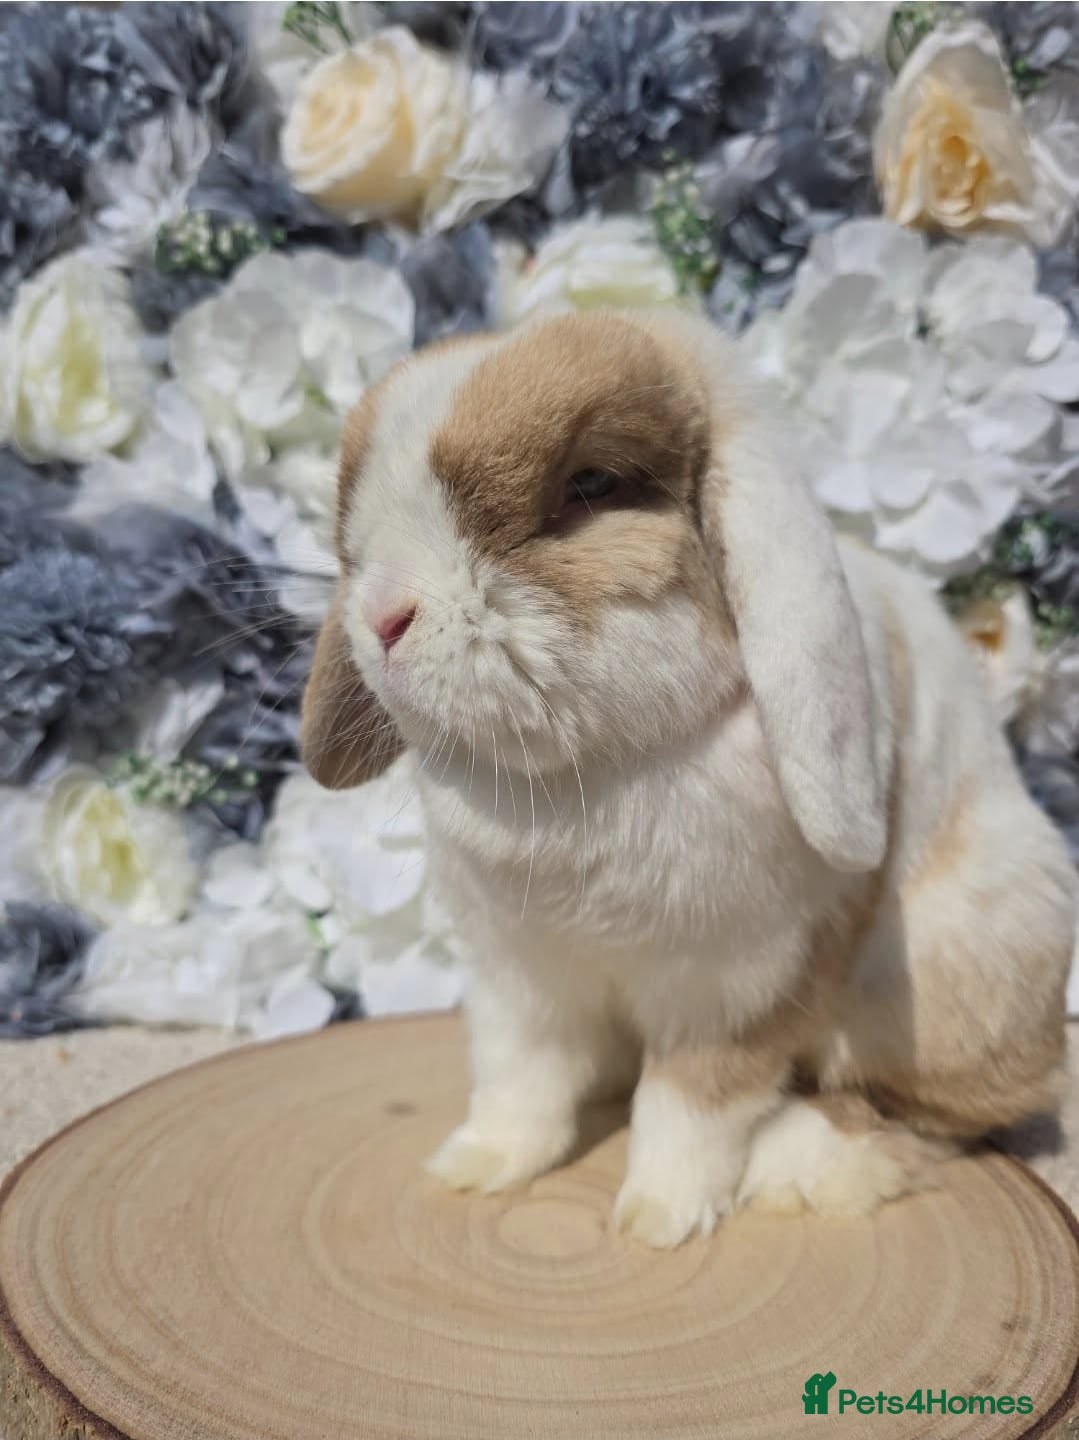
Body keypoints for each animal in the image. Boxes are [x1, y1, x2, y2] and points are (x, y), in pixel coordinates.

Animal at [301, 309, 1076, 1248]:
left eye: (589, 484)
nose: (382, 617)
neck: (585, 773)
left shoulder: (738, 986)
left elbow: (691, 1104)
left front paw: (658, 1218)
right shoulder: (518, 979)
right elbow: (519, 1080)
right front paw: (478, 1165)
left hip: (945, 983)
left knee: (937, 1114)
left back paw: (802, 1164)